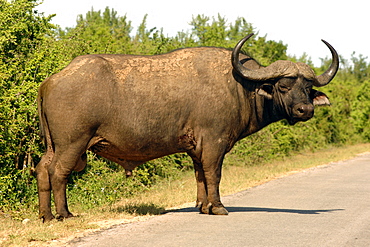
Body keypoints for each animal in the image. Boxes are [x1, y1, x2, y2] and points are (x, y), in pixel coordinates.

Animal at [34, 33, 338, 222]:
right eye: (283, 86)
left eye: (307, 87)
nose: (305, 110)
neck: (240, 87)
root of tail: (51, 80)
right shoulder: (214, 142)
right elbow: (214, 175)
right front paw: (218, 207)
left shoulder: (196, 148)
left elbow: (200, 176)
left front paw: (203, 206)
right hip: (72, 144)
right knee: (58, 173)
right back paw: (65, 214)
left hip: (53, 145)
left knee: (42, 170)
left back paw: (46, 215)